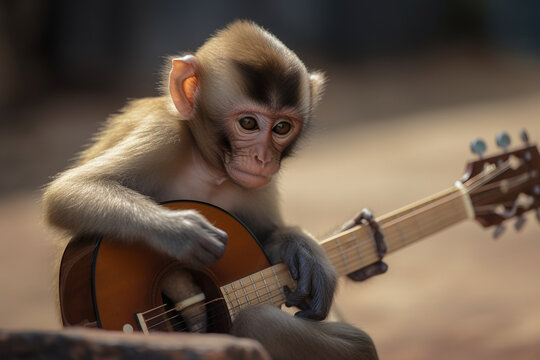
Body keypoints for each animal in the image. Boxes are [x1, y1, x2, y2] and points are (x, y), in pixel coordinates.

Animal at [43, 20, 380, 360]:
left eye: (282, 128)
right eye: (248, 123)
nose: (263, 159)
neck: (210, 168)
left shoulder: (258, 185)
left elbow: (269, 237)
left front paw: (303, 250)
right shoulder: (164, 135)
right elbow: (69, 191)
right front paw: (184, 232)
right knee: (260, 321)